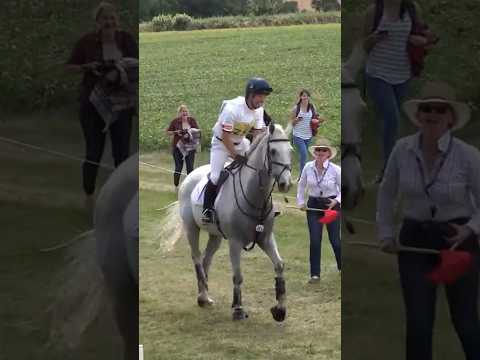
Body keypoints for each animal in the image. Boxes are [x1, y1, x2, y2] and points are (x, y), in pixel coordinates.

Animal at [176, 124, 290, 320]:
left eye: (290, 150)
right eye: (273, 151)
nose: (286, 184)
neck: (254, 196)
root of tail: (191, 175)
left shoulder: (266, 238)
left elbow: (279, 266)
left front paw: (280, 309)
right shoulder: (235, 242)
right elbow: (238, 275)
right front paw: (238, 308)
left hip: (215, 236)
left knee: (206, 260)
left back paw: (205, 297)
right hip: (192, 228)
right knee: (197, 258)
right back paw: (202, 294)